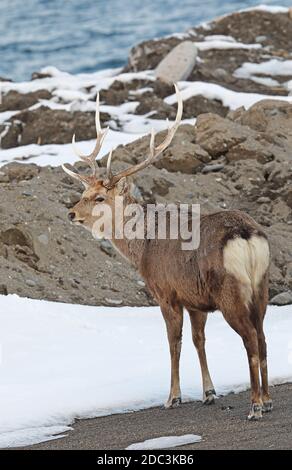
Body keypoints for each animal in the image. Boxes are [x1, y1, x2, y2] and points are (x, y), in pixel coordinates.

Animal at [63, 86, 272, 420]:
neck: (143, 247)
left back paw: (255, 406)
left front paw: (173, 396)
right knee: (263, 337)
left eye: (99, 197)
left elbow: (174, 343)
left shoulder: (166, 292)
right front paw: (209, 392)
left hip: (229, 291)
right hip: (260, 286)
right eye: (84, 192)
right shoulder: (196, 300)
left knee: (251, 338)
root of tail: (245, 235)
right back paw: (267, 399)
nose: (71, 213)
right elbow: (199, 341)